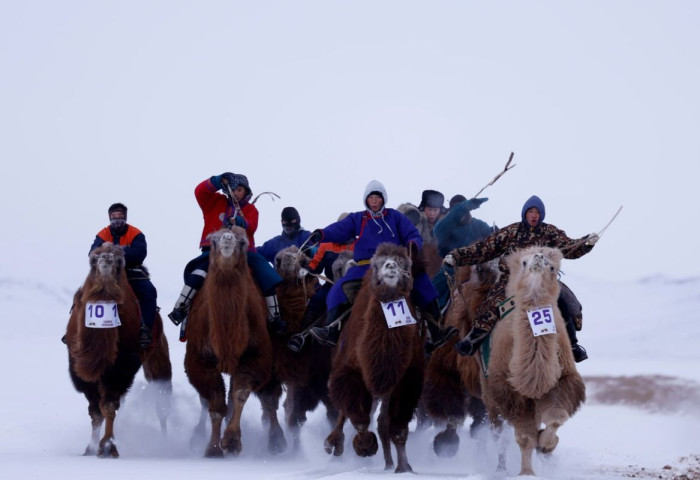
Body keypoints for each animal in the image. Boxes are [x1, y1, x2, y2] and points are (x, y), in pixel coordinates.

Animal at [65, 244, 173, 458]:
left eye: (120, 260)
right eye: (93, 259)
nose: (105, 259)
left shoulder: (121, 366)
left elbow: (108, 406)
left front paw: (107, 446)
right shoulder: (80, 368)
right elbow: (95, 411)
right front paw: (90, 448)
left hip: (158, 356)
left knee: (161, 400)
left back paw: (165, 441)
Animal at [183, 229, 276, 458]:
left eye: (243, 242)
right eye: (213, 240)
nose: (227, 239)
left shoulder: (256, 356)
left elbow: (239, 395)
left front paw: (232, 442)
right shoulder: (198, 360)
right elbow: (216, 405)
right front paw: (213, 450)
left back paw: (277, 443)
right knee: (206, 401)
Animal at [322, 244, 422, 472]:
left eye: (404, 264)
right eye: (377, 264)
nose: (391, 266)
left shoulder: (405, 380)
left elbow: (395, 426)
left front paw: (403, 467)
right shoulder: (350, 371)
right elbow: (359, 417)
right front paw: (365, 445)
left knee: (382, 419)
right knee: (345, 408)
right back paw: (333, 443)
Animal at [482, 248, 584, 476]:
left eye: (553, 267)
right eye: (524, 262)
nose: (539, 258)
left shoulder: (563, 380)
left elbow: (555, 418)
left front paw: (547, 445)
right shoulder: (509, 391)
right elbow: (525, 438)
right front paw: (526, 473)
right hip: (490, 396)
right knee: (497, 433)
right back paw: (500, 468)